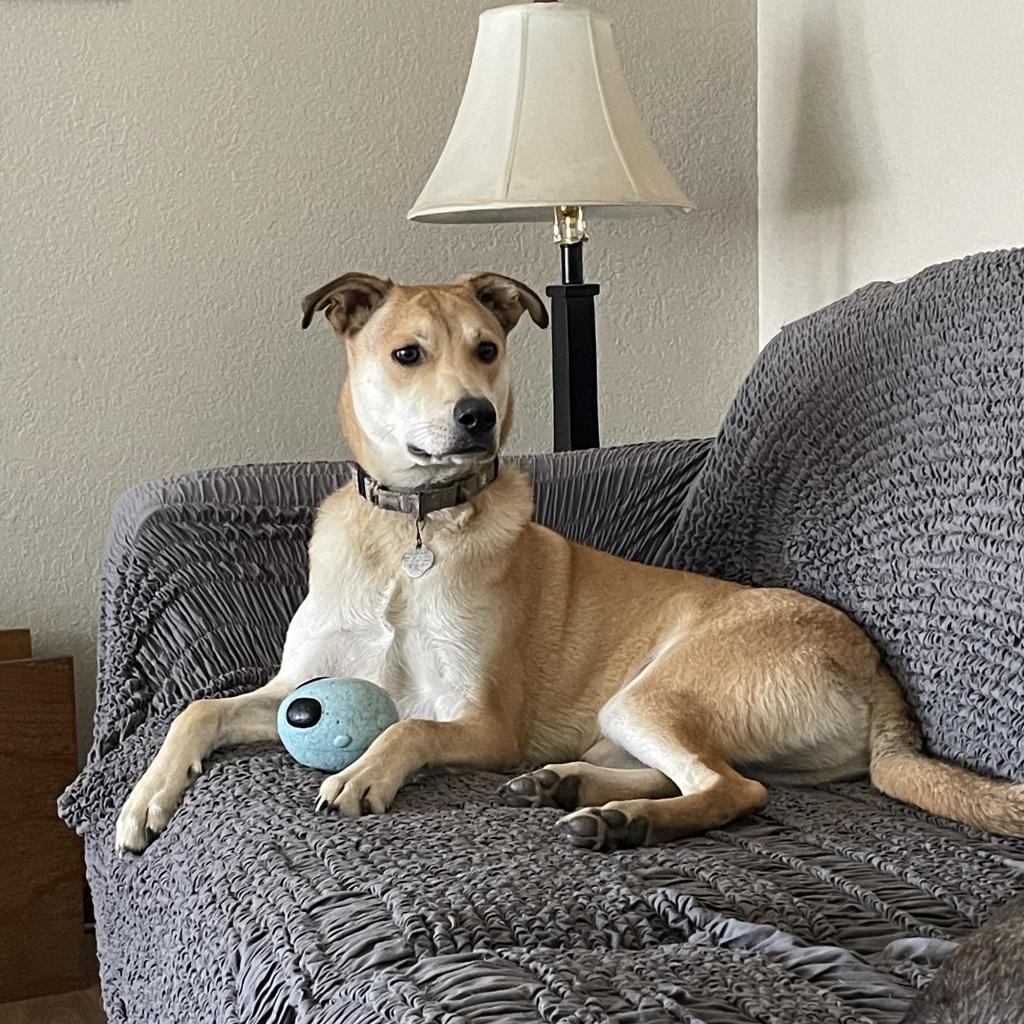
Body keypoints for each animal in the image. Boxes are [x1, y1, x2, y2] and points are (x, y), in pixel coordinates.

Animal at [116, 270, 1024, 856]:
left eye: (487, 349)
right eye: (408, 354)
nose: (476, 417)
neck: (413, 531)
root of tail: (874, 666)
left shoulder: (482, 724)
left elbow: (410, 723)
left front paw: (366, 774)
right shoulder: (290, 687)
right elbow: (198, 709)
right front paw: (144, 801)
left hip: (651, 692)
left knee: (733, 789)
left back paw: (621, 822)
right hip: (635, 716)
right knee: (697, 777)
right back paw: (570, 789)